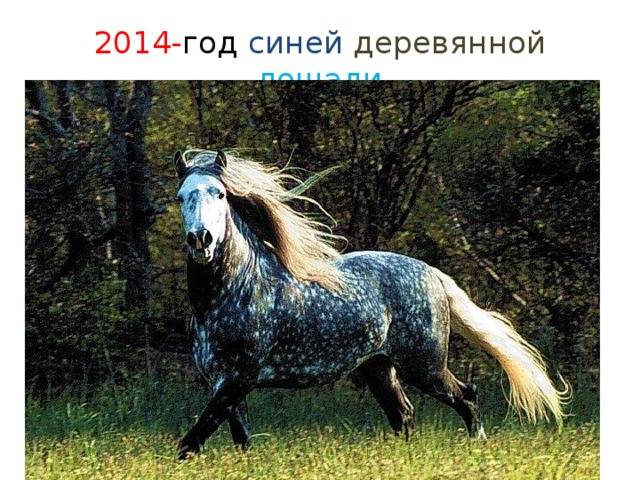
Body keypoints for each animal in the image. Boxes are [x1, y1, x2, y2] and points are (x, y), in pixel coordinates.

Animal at [173, 149, 568, 459]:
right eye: (180, 196)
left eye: (220, 194)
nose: (201, 240)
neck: (234, 292)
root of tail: (432, 273)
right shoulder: (225, 384)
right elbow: (239, 440)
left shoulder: (239, 379)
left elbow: (191, 441)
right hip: (379, 368)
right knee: (403, 414)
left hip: (424, 366)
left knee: (466, 397)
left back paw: (477, 447)